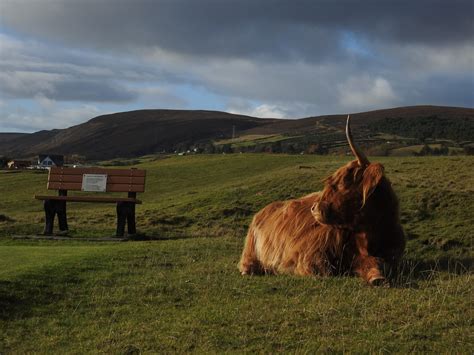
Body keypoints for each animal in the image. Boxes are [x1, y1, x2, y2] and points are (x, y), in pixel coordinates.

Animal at [239, 117, 406, 286]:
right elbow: (320, 269)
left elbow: (379, 264)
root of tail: (264, 210)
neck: (372, 232)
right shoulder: (310, 252)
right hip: (251, 248)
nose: (314, 208)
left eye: (343, 183)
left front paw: (377, 276)